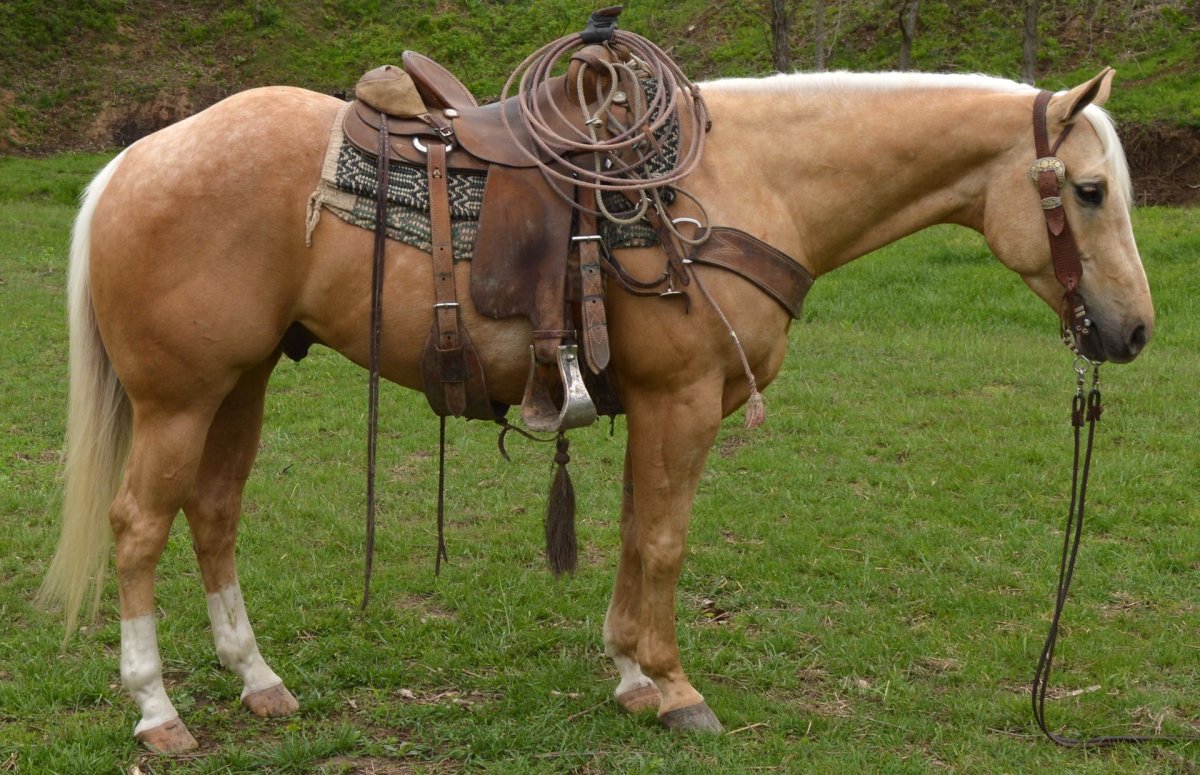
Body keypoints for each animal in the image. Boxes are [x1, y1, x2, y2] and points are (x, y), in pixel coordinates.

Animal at [39, 65, 1152, 752]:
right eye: (1090, 191)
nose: (1134, 331)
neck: (743, 182)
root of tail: (131, 160)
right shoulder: (685, 403)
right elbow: (663, 540)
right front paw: (676, 687)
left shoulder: (653, 408)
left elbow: (630, 532)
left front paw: (628, 674)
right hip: (180, 397)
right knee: (139, 526)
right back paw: (157, 709)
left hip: (243, 381)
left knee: (214, 512)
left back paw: (259, 679)